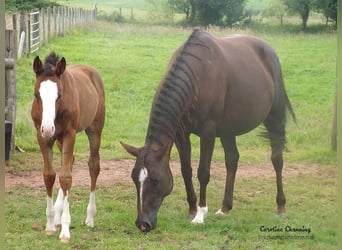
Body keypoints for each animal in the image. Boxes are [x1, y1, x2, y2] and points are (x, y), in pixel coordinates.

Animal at [31, 52, 105, 242]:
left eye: (59, 94)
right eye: (36, 94)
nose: (48, 128)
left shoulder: (69, 134)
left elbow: (65, 178)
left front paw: (65, 230)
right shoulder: (42, 137)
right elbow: (50, 175)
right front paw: (51, 224)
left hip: (94, 129)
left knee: (93, 165)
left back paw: (90, 217)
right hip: (58, 139)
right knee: (69, 162)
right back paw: (57, 216)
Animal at [121, 29, 296, 232]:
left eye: (155, 180)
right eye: (134, 179)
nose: (143, 224)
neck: (196, 76)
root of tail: (268, 50)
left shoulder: (208, 131)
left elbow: (203, 172)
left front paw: (200, 214)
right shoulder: (181, 134)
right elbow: (186, 170)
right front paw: (191, 209)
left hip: (274, 118)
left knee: (277, 159)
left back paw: (281, 206)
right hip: (228, 130)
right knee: (232, 160)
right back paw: (225, 207)